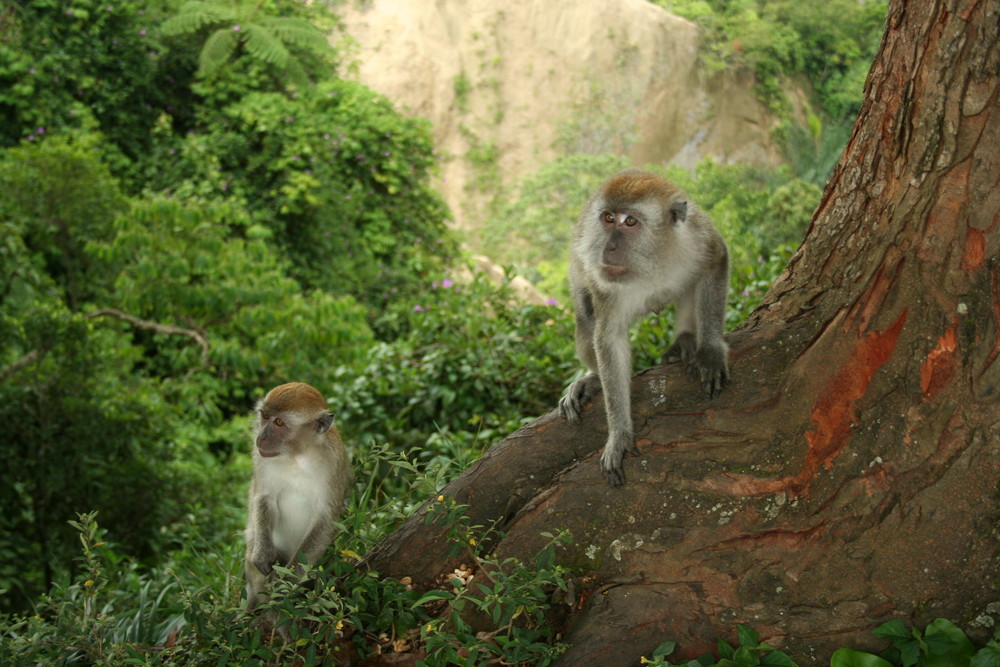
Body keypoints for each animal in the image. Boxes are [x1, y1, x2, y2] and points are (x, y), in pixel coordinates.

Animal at [244, 384, 354, 624]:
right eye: (265, 416)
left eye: (279, 422)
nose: (261, 438)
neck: (297, 455)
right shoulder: (260, 457)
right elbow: (263, 497)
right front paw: (263, 555)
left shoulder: (334, 462)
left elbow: (326, 519)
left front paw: (283, 586)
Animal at [560, 170, 732, 488]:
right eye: (608, 218)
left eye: (630, 222)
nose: (609, 248)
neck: (653, 258)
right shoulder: (606, 281)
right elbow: (609, 338)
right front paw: (619, 434)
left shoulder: (697, 238)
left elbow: (716, 261)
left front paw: (711, 351)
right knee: (586, 315)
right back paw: (592, 378)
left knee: (692, 283)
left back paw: (685, 340)